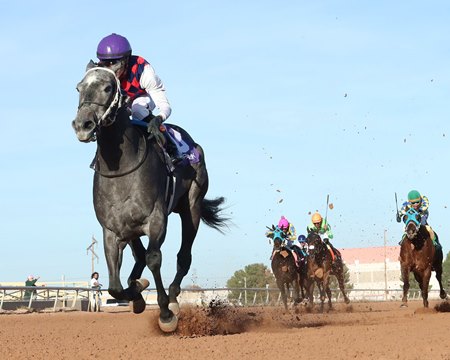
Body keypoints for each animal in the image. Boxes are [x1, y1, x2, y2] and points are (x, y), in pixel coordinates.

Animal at [74, 65, 230, 332]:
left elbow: (153, 258)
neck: (121, 168)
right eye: (79, 88)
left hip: (191, 207)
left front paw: (166, 312)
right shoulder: (111, 230)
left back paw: (174, 296)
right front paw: (136, 292)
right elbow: (114, 286)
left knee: (182, 257)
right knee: (138, 256)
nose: (82, 124)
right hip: (131, 227)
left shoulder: (156, 220)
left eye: (107, 87)